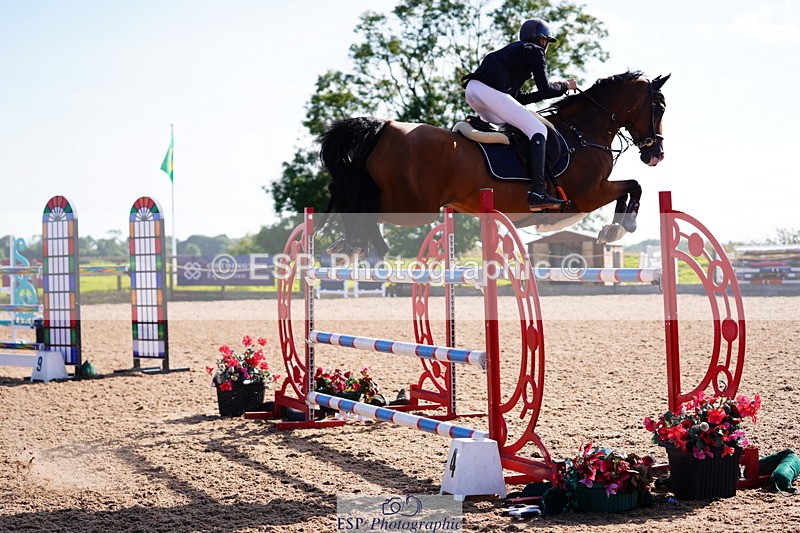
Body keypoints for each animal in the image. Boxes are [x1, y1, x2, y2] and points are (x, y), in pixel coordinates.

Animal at [318, 70, 670, 256]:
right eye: (660, 106)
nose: (656, 155)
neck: (583, 132)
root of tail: (385, 126)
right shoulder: (589, 194)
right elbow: (633, 186)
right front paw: (623, 227)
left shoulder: (593, 193)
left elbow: (630, 188)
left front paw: (612, 230)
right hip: (414, 206)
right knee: (365, 210)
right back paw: (367, 247)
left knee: (354, 204)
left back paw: (351, 245)